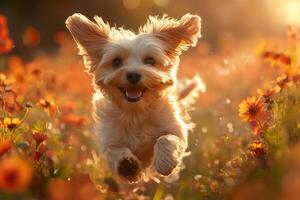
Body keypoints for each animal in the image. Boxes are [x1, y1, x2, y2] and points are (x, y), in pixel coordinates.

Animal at [65, 13, 204, 182]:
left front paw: (165, 162)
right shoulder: (110, 138)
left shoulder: (176, 130)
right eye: (116, 61)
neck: (135, 112)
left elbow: (166, 138)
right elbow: (113, 150)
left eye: (150, 60)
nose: (133, 74)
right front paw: (127, 165)